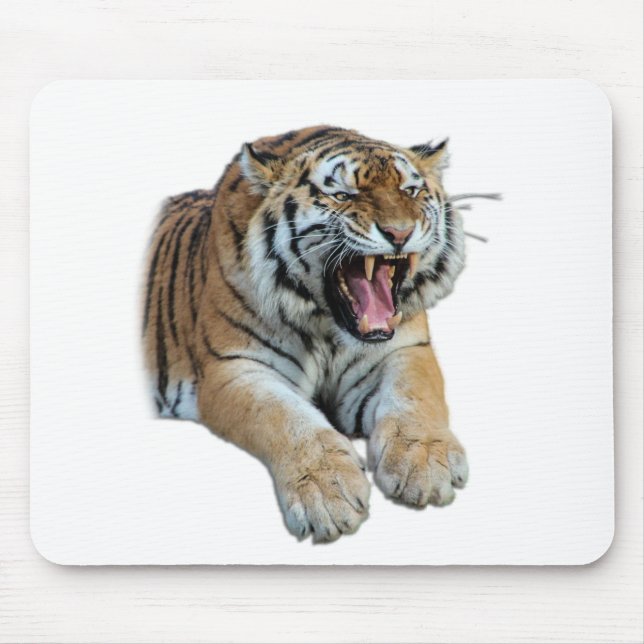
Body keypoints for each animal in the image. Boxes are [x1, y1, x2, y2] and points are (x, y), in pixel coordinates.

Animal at [142, 125, 470, 543]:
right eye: (343, 195)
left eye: (410, 191)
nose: (400, 232)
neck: (328, 326)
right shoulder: (234, 368)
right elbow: (285, 418)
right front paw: (328, 494)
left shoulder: (404, 349)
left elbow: (414, 397)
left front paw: (424, 463)